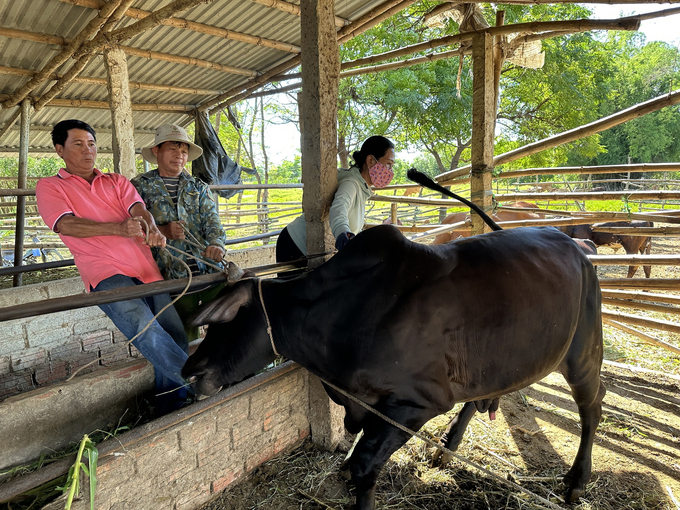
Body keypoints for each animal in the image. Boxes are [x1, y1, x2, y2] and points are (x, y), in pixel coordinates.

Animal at [182, 226, 604, 510]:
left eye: (222, 321)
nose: (189, 368)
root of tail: (577, 244)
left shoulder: (416, 403)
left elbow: (365, 465)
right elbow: (358, 458)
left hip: (583, 353)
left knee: (592, 406)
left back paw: (575, 482)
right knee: (484, 393)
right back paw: (446, 448)